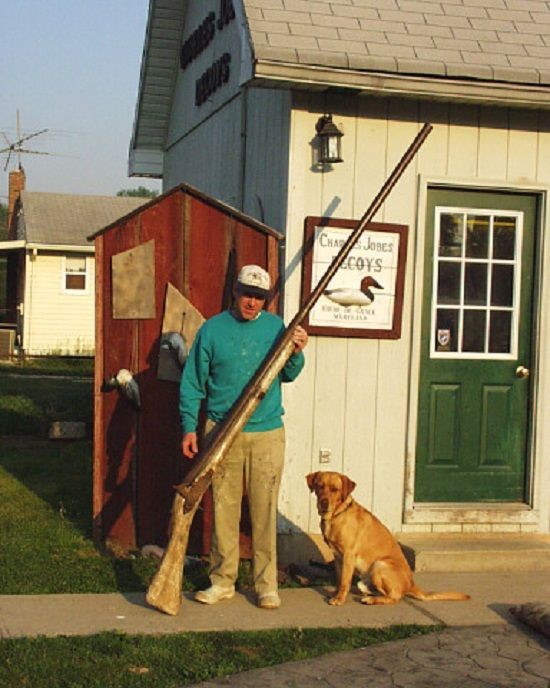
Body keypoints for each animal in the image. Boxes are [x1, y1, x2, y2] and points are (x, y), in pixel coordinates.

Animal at [308, 470, 472, 604]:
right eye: (320, 486)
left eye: (335, 489)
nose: (323, 503)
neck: (336, 515)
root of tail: (411, 584)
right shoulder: (337, 556)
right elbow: (339, 579)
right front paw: (335, 594)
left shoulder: (349, 554)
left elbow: (344, 581)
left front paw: (339, 599)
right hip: (367, 578)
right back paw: (368, 595)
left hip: (379, 565)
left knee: (395, 597)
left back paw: (371, 600)